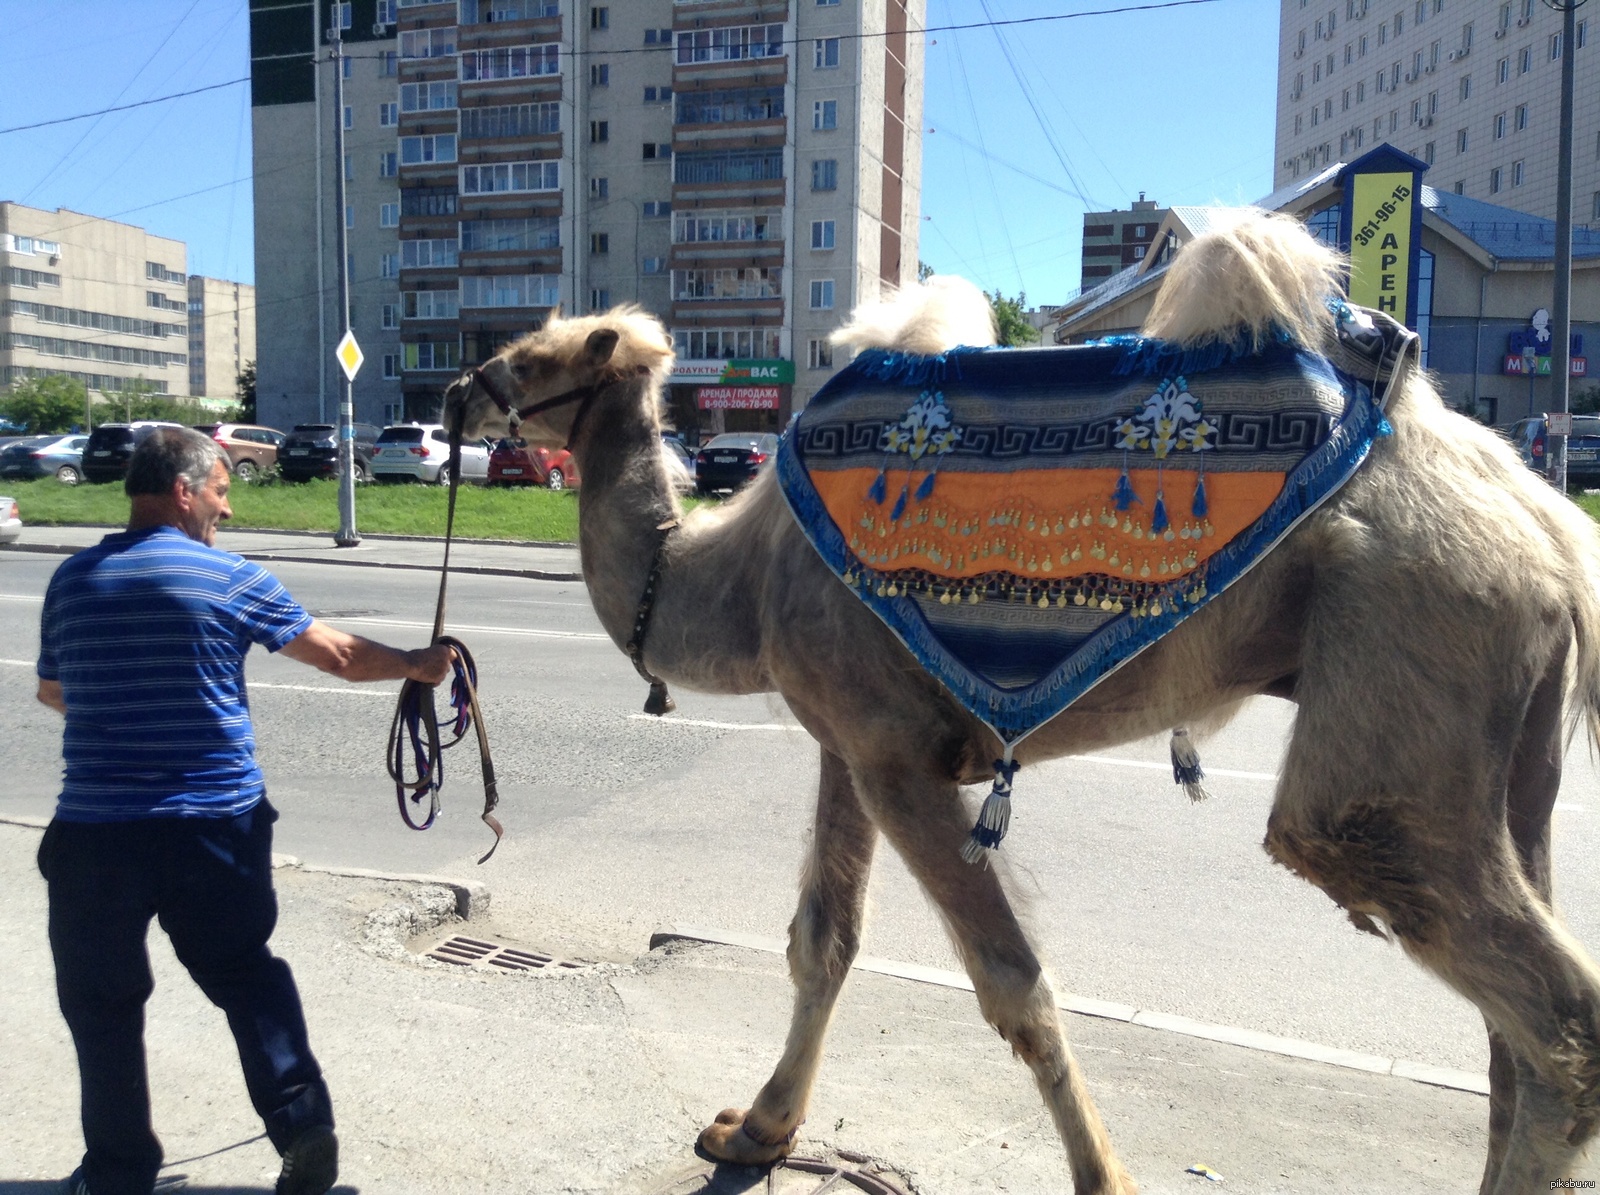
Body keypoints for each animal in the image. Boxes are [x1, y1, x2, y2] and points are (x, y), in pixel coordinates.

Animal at [444, 214, 1600, 1195]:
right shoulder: (847, 743)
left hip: (1401, 680)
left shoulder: (894, 754)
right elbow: (823, 938)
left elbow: (1011, 980)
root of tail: (1542, 518)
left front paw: (1106, 1175)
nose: (461, 392)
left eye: (539, 355)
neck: (739, 576)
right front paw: (755, 1130)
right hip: (1515, 753)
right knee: (1512, 1024)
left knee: (1537, 1004)